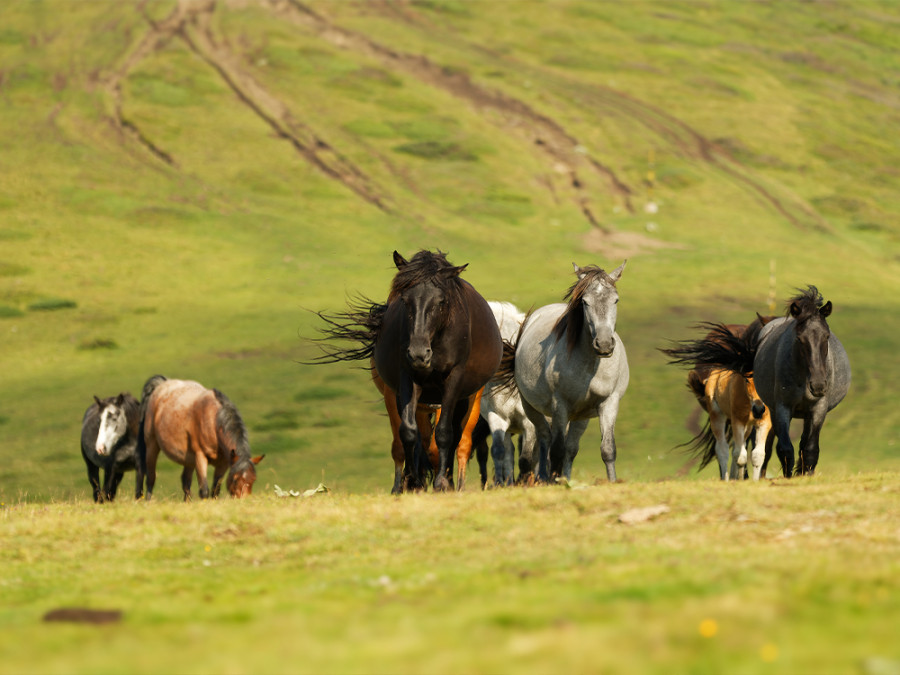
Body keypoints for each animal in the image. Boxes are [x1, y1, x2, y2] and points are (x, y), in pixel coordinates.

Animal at [135, 374, 264, 502]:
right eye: (235, 479)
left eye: (253, 479)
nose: (244, 501)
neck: (214, 422)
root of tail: (161, 385)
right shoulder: (200, 457)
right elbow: (204, 491)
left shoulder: (223, 464)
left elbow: (215, 491)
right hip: (152, 446)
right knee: (150, 477)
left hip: (188, 458)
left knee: (185, 483)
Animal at [312, 250, 502, 492]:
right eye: (405, 300)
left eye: (441, 301)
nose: (419, 353)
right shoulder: (404, 383)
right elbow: (408, 434)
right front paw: (412, 483)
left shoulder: (453, 380)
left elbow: (444, 433)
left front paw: (440, 482)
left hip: (469, 398)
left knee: (459, 439)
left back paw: (452, 483)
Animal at [660, 288, 852, 478]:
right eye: (799, 338)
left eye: (826, 336)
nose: (818, 385)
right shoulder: (780, 408)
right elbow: (783, 449)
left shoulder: (818, 408)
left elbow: (809, 449)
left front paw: (804, 476)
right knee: (728, 448)